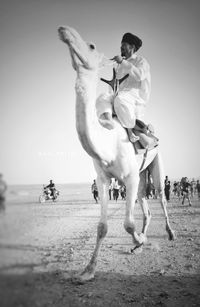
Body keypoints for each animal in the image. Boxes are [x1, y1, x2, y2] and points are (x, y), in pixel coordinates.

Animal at [57, 26, 173, 284]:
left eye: (91, 46)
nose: (64, 31)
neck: (108, 143)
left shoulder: (129, 177)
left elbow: (128, 224)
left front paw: (141, 239)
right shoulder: (103, 178)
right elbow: (102, 226)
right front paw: (88, 271)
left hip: (156, 164)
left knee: (160, 196)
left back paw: (170, 234)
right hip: (141, 177)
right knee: (146, 207)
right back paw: (139, 245)